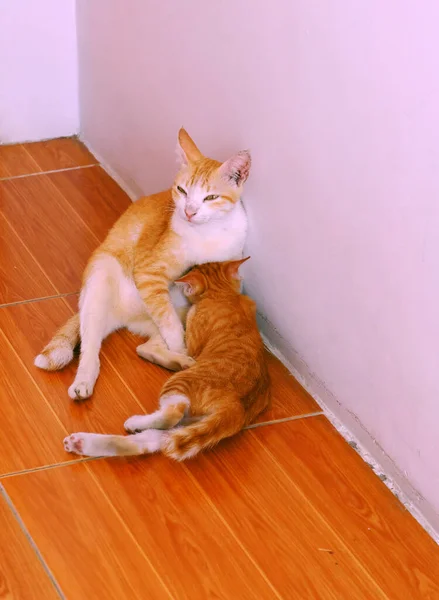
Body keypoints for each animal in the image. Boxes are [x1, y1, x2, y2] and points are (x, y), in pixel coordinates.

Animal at [64, 260, 272, 462]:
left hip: (179, 387)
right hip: (183, 428)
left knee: (172, 412)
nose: (191, 267)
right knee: (144, 443)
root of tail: (237, 407)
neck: (223, 295)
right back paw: (82, 442)